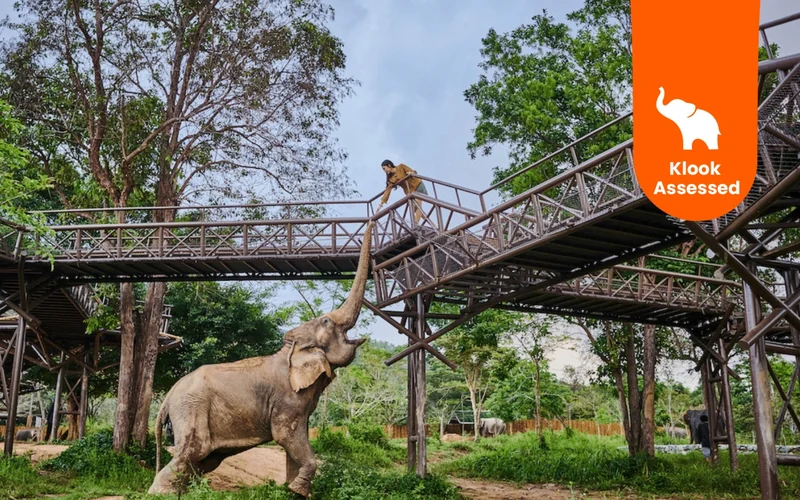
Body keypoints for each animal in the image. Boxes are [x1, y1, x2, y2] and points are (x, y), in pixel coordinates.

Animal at [148, 221, 374, 497]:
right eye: (327, 321)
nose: (372, 219)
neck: (290, 350)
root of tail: (169, 395)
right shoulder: (287, 400)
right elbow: (285, 435)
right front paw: (297, 490)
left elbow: (294, 441)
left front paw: (293, 491)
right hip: (191, 408)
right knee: (192, 451)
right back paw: (159, 494)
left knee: (202, 460)